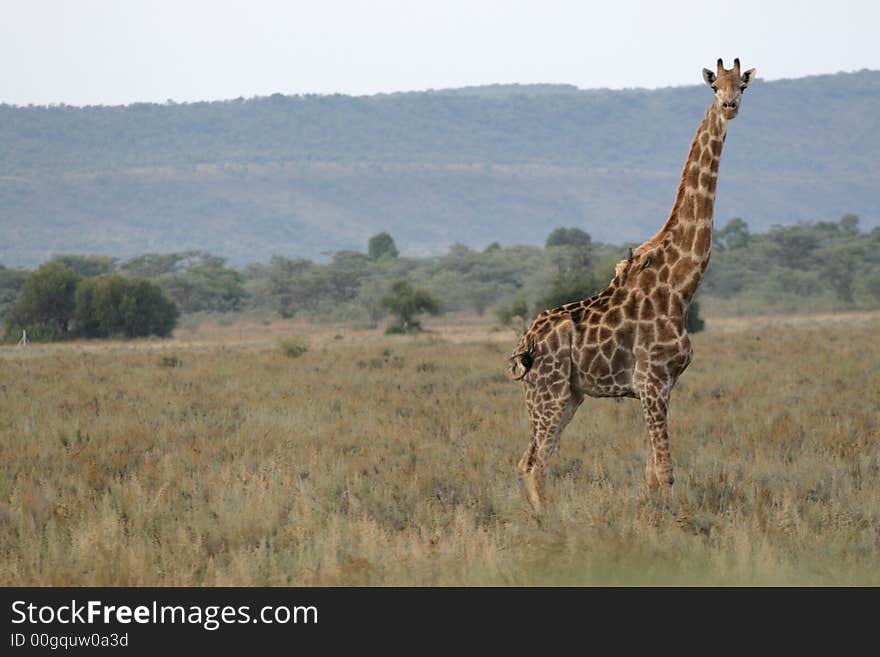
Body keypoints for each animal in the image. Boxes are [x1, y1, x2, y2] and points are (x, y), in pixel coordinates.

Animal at [508, 59, 756, 510]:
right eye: (715, 86)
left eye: (743, 85)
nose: (730, 106)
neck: (680, 285)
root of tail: (524, 342)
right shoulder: (653, 382)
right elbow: (666, 472)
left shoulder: (662, 386)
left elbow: (650, 474)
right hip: (547, 392)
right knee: (534, 462)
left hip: (570, 394)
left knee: (532, 459)